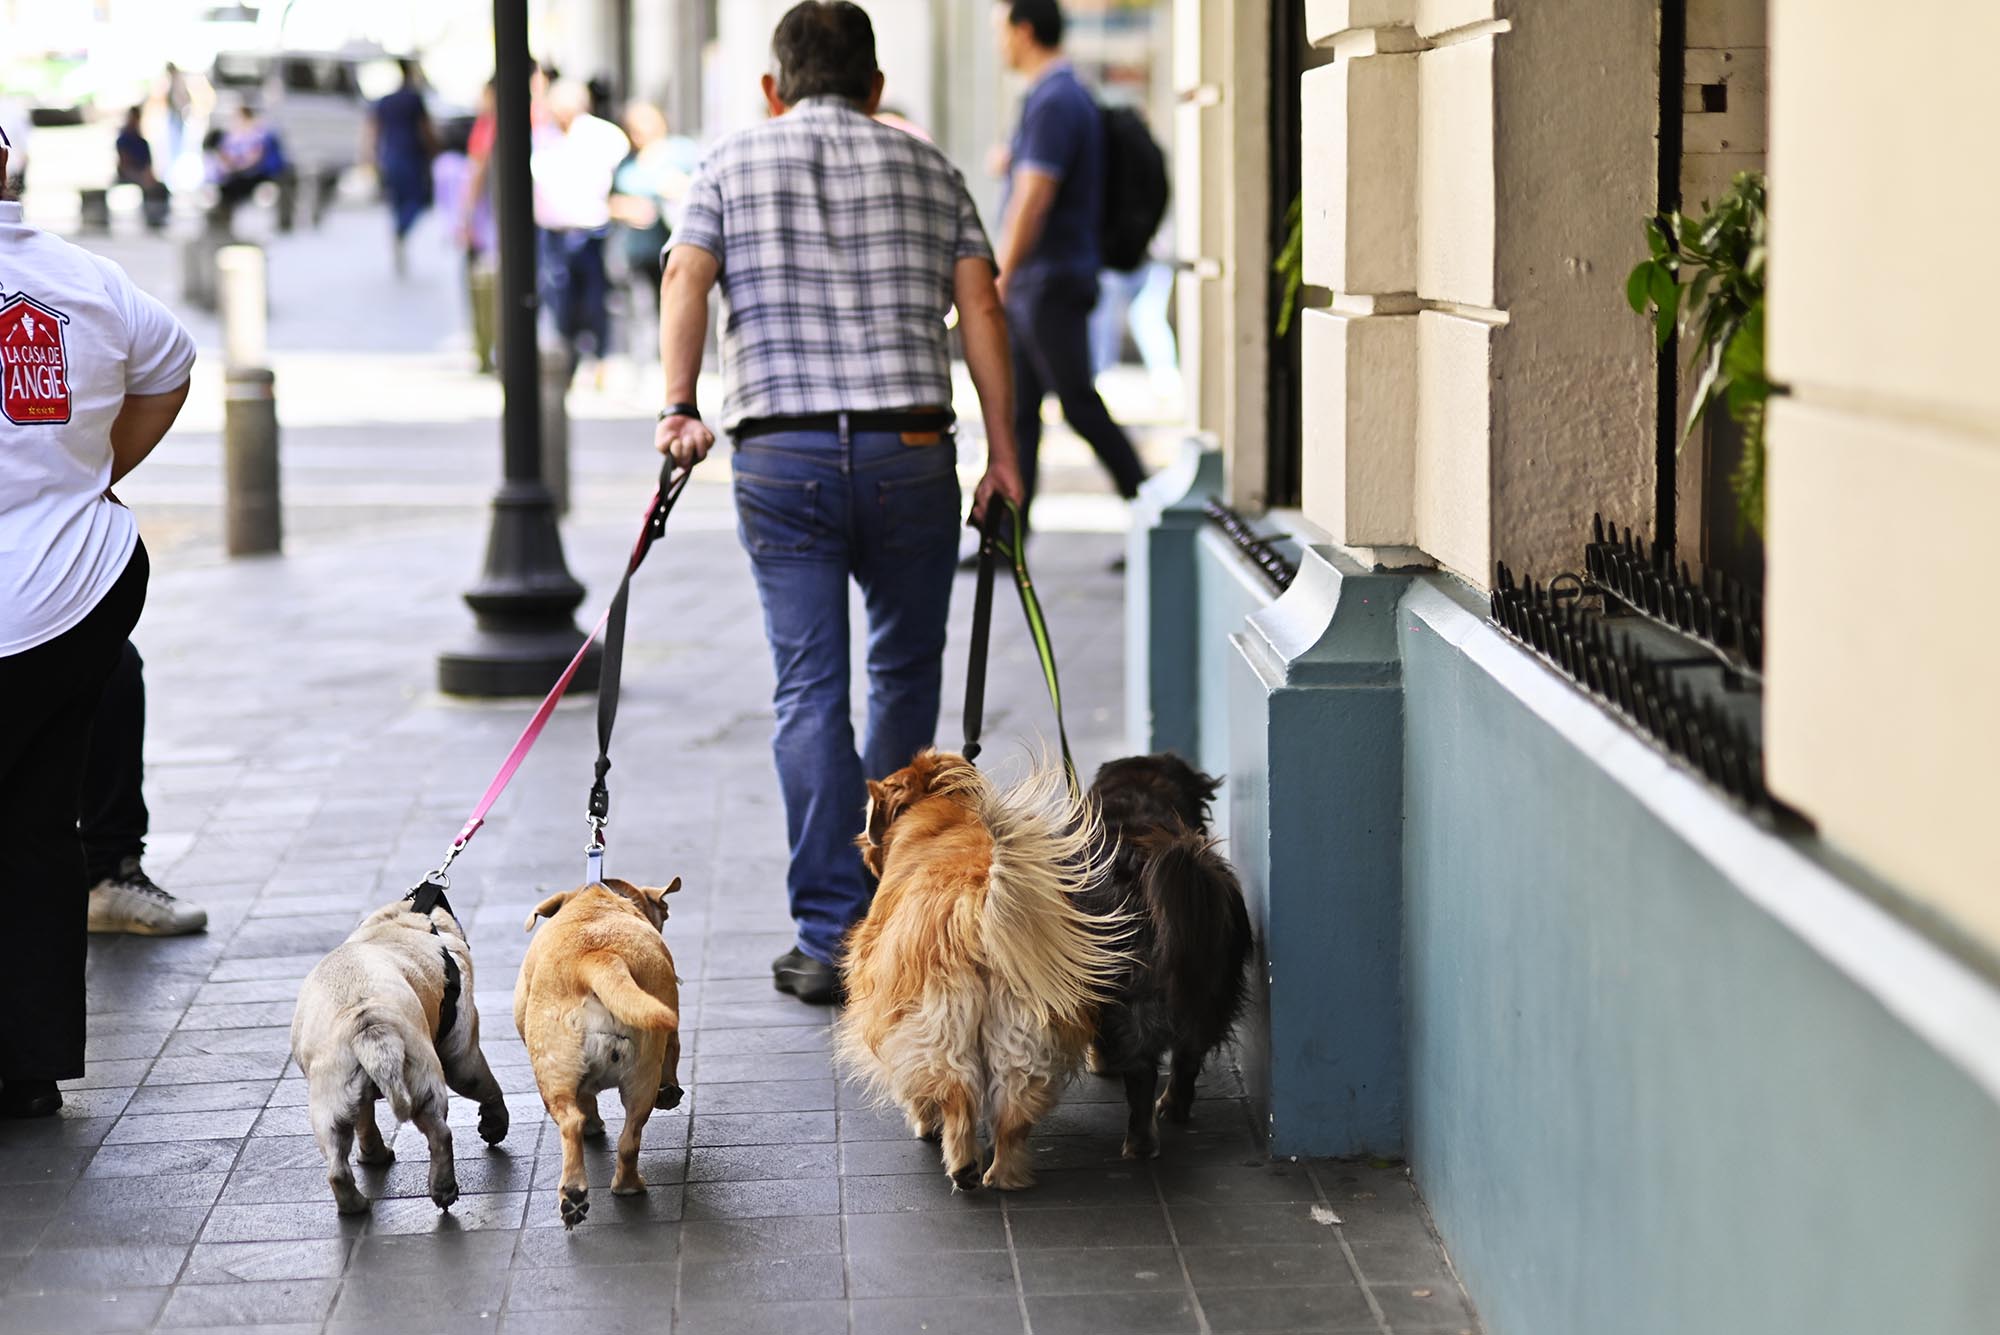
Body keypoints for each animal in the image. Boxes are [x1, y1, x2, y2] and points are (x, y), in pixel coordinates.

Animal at [290, 891, 508, 1215]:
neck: (400, 922)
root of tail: (369, 1021)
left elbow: (365, 1121)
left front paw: (372, 1153)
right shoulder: (461, 1052)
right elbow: (488, 1088)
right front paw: (495, 1122)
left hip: (331, 1105)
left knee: (337, 1165)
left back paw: (355, 1203)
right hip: (425, 1078)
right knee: (441, 1134)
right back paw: (443, 1189)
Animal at [516, 875, 688, 1231]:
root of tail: (599, 957)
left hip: (553, 1070)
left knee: (571, 1122)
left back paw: (582, 1191)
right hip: (640, 1077)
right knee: (629, 1138)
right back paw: (616, 1188)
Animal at [836, 751, 1128, 1191]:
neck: (942, 811)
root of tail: (978, 903)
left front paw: (923, 1123)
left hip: (937, 1025)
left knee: (955, 1093)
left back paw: (963, 1165)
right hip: (1021, 1031)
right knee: (1013, 1110)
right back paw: (1004, 1174)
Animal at [1088, 755, 1240, 1159]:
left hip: (1125, 997)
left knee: (1141, 1073)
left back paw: (1140, 1142)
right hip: (1208, 988)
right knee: (1189, 1054)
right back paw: (1174, 1106)